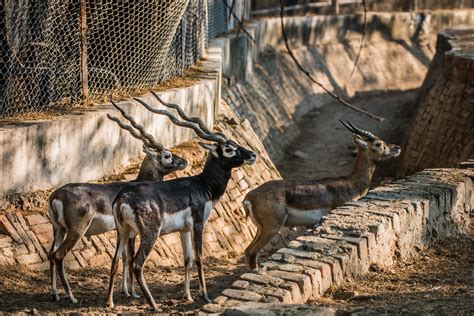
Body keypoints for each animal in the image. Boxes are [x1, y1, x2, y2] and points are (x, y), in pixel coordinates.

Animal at [48, 102, 187, 304]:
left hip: (58, 230)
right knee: (59, 256)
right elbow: (129, 258)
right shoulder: (131, 233)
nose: (184, 161)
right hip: (75, 231)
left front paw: (126, 291)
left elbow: (122, 257)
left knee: (51, 254)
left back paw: (55, 294)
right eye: (167, 155)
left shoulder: (121, 232)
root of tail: (55, 196)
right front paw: (133, 292)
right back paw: (72, 298)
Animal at [106, 94, 258, 312]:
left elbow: (187, 260)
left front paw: (188, 296)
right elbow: (199, 258)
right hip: (150, 233)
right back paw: (154, 305)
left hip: (123, 232)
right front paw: (205, 296)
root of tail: (123, 198)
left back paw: (110, 302)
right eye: (229, 149)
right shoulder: (198, 224)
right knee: (137, 263)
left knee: (115, 260)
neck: (203, 185)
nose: (252, 155)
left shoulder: (183, 229)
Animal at [243, 120, 402, 270]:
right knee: (252, 251)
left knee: (248, 250)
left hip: (261, 228)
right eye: (378, 144)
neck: (351, 183)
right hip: (272, 227)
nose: (397, 148)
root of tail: (249, 197)